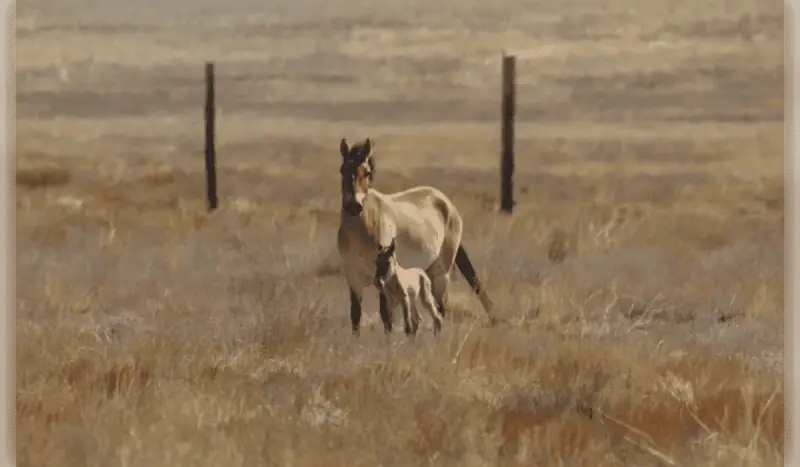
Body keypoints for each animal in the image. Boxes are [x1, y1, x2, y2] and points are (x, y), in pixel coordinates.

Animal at [335, 137, 495, 335]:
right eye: (342, 169)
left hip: (440, 273)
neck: (361, 228)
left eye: (367, 172)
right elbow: (356, 316)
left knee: (440, 309)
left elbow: (386, 316)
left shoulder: (383, 277)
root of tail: (446, 203)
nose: (353, 206)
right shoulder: (353, 277)